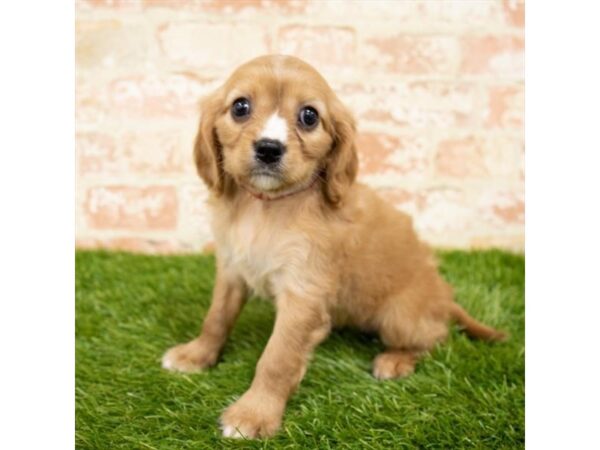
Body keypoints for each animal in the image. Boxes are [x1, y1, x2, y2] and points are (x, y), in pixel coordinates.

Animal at [161, 54, 506, 438]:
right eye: (240, 107)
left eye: (309, 116)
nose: (269, 148)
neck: (265, 207)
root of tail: (444, 298)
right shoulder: (233, 268)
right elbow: (216, 318)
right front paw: (196, 355)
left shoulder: (303, 294)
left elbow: (277, 358)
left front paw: (254, 413)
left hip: (399, 317)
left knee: (435, 337)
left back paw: (396, 359)